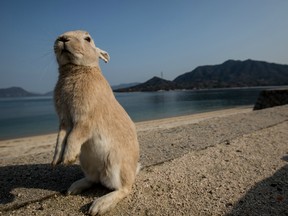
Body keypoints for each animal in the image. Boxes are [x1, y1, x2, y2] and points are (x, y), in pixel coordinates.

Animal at [51, 29, 140, 215]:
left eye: (88, 39)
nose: (62, 38)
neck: (76, 69)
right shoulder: (64, 121)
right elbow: (60, 138)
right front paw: (56, 161)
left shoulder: (85, 120)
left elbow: (73, 136)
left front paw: (68, 158)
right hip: (87, 162)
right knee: (93, 180)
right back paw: (73, 188)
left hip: (114, 165)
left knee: (123, 189)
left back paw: (98, 206)